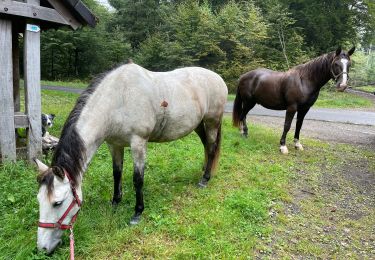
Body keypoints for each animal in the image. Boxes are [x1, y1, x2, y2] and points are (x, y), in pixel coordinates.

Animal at [35, 62, 228, 254]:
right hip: (199, 124)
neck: (118, 99)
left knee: (211, 148)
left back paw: (204, 179)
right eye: (39, 200)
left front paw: (137, 213)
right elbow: (117, 173)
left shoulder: (138, 143)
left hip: (212, 121)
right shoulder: (114, 145)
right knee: (206, 146)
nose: (42, 248)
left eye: (57, 203)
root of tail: (217, 78)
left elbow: (138, 179)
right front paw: (115, 202)